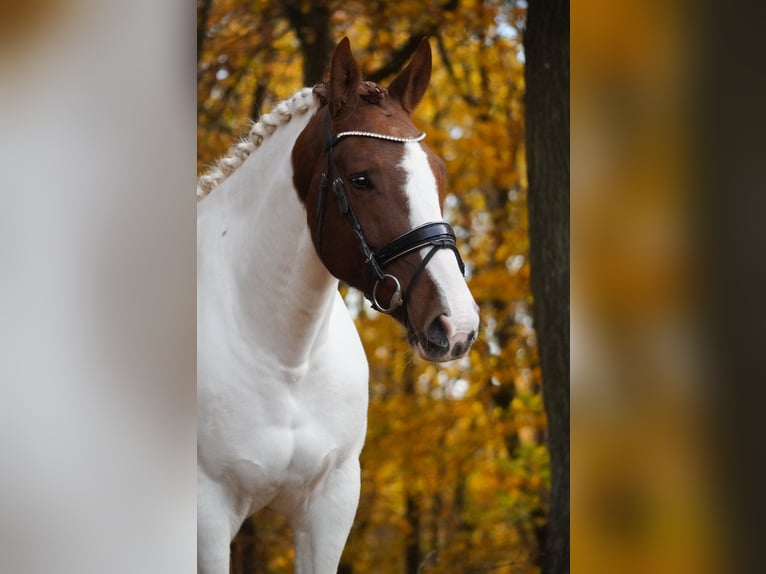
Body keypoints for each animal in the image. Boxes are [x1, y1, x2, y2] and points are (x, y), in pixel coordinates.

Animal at [197, 37, 479, 573]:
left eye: (439, 173)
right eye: (362, 178)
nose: (457, 325)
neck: (285, 358)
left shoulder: (331, 504)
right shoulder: (208, 512)